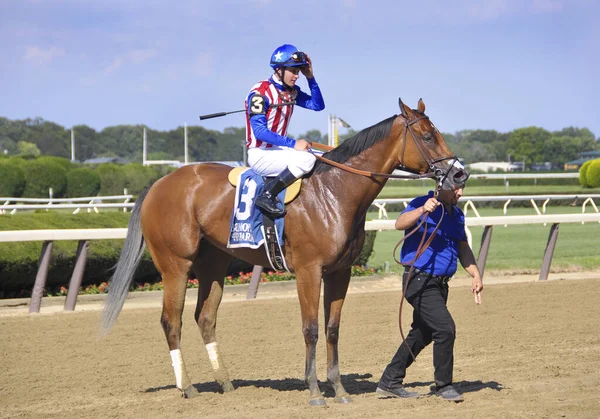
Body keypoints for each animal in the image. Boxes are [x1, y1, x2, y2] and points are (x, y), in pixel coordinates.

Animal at [101, 97, 464, 406]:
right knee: (171, 321)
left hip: (213, 265)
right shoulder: (308, 270)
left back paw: (225, 383)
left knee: (205, 318)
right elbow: (311, 329)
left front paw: (339, 389)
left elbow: (332, 329)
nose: (460, 173)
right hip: (175, 265)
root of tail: (158, 184)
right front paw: (315, 391)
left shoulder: (340, 272)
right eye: (428, 136)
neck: (333, 194)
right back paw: (187, 386)